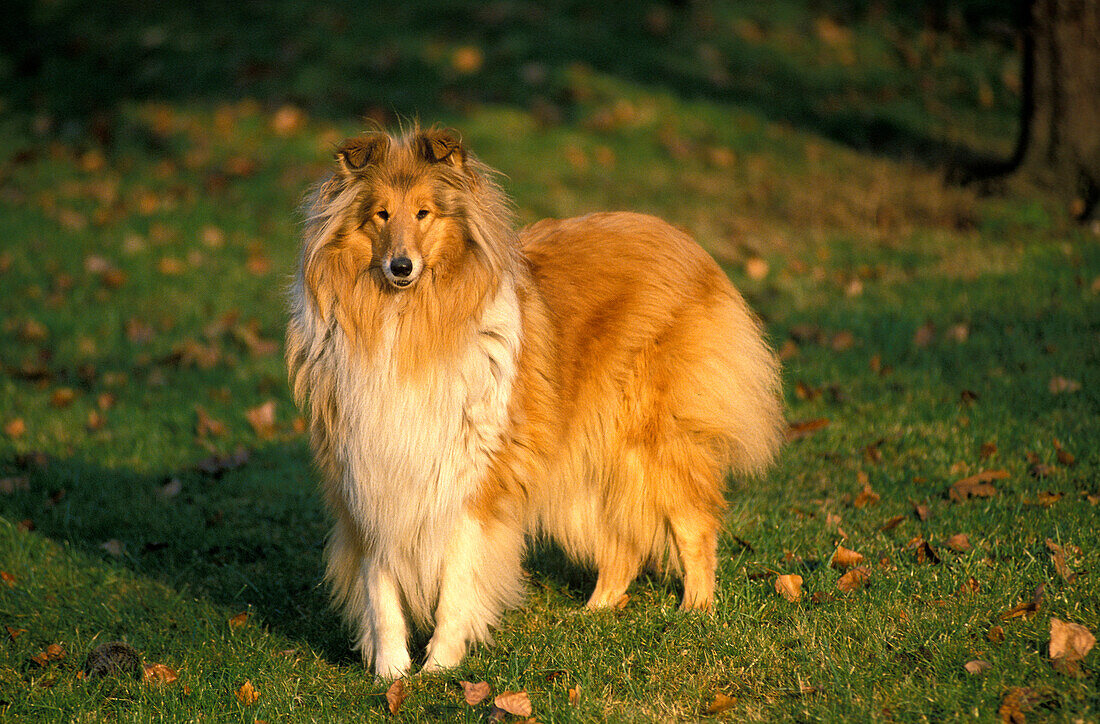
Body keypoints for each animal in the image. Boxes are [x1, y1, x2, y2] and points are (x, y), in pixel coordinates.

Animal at [283, 127, 783, 673]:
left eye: (423, 212)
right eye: (380, 214)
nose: (401, 266)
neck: (407, 320)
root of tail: (683, 239)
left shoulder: (474, 475)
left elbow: (457, 578)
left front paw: (440, 664)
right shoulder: (369, 472)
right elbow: (380, 587)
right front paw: (390, 670)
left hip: (649, 438)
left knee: (694, 523)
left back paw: (696, 611)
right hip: (585, 454)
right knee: (621, 543)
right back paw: (592, 614)